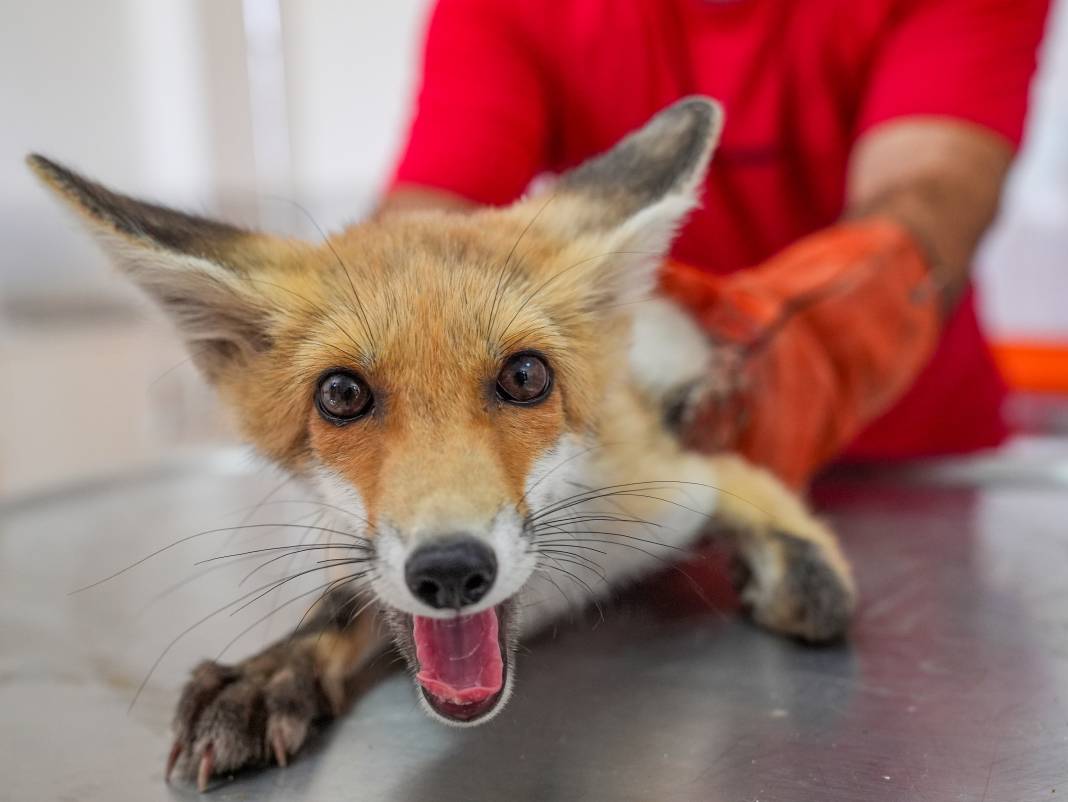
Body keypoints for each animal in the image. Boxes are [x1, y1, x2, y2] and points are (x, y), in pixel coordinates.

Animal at [29, 95, 854, 790]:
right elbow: (343, 602)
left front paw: (787, 568)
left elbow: (802, 567)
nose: (452, 571)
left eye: (525, 376)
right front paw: (269, 676)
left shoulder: (673, 479)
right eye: (341, 395)